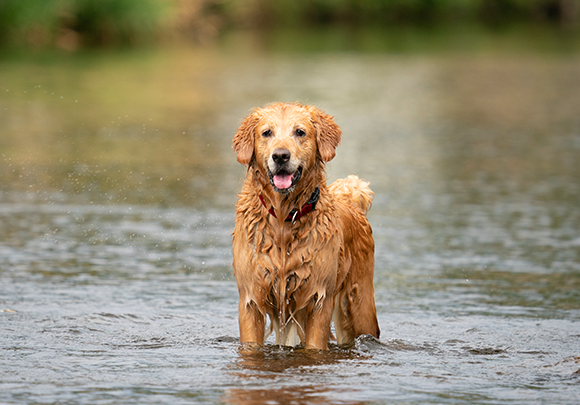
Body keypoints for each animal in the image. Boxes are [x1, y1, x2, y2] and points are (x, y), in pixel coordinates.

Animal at [231, 102, 380, 348]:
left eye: (300, 132)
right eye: (266, 133)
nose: (281, 156)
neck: (284, 216)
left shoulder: (319, 297)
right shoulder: (250, 298)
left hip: (360, 305)